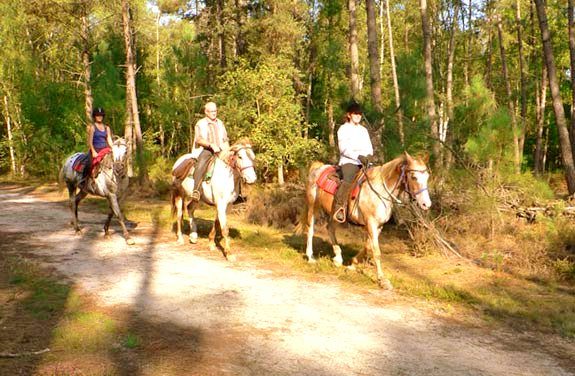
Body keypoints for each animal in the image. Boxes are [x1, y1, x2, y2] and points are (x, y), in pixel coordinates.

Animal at [304, 151, 430, 290]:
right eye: (413, 177)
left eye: (427, 177)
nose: (426, 204)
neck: (380, 191)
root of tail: (319, 168)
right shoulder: (371, 223)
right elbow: (376, 251)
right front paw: (382, 280)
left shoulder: (378, 226)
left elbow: (368, 246)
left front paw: (352, 265)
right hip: (313, 206)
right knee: (310, 229)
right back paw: (310, 257)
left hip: (336, 215)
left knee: (330, 228)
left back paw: (338, 259)